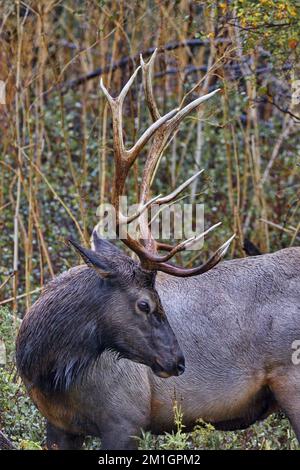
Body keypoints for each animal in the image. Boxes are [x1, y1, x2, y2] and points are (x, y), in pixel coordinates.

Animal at [15, 49, 300, 450]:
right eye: (145, 304)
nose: (179, 361)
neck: (47, 372)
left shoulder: (125, 418)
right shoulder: (57, 426)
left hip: (292, 380)